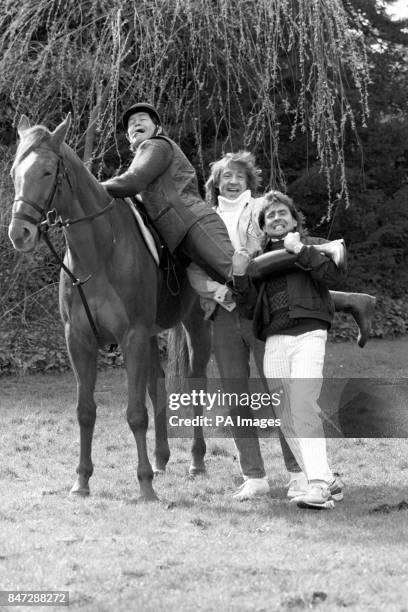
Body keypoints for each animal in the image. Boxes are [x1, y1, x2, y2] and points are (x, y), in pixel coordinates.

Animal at [7, 113, 210, 498]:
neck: (98, 253)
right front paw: (82, 481)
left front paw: (144, 486)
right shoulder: (79, 342)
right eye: (14, 172)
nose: (19, 233)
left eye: (46, 171)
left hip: (193, 325)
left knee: (195, 386)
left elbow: (135, 414)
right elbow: (86, 411)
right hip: (152, 336)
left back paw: (195, 461)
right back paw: (161, 459)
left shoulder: (132, 337)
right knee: (157, 385)